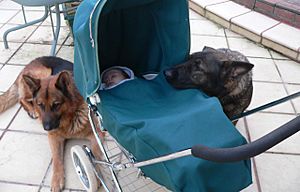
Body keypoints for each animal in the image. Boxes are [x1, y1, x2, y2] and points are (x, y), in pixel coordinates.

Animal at [0, 56, 102, 191]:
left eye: (56, 105)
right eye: (41, 105)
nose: (47, 128)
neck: (70, 117)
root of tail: (30, 63)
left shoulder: (97, 134)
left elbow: (96, 154)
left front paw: (98, 174)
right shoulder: (54, 137)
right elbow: (57, 159)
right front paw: (56, 180)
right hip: (43, 74)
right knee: (21, 99)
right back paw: (32, 110)